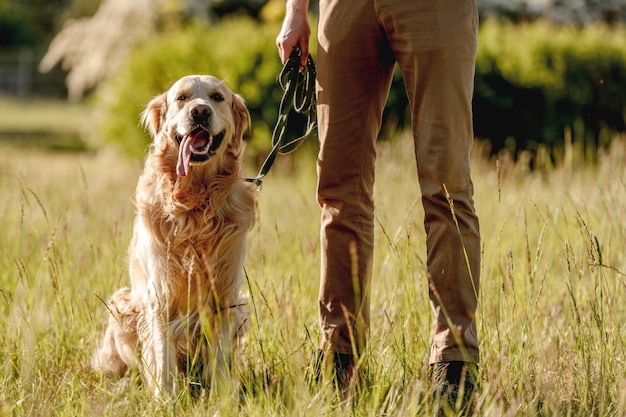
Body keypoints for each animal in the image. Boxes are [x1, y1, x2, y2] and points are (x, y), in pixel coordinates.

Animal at [89, 75, 254, 396]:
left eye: (217, 97)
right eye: (181, 98)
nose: (200, 112)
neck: (196, 202)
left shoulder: (225, 293)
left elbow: (220, 356)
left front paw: (222, 397)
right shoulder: (160, 293)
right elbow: (161, 356)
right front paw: (164, 397)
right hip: (123, 308)